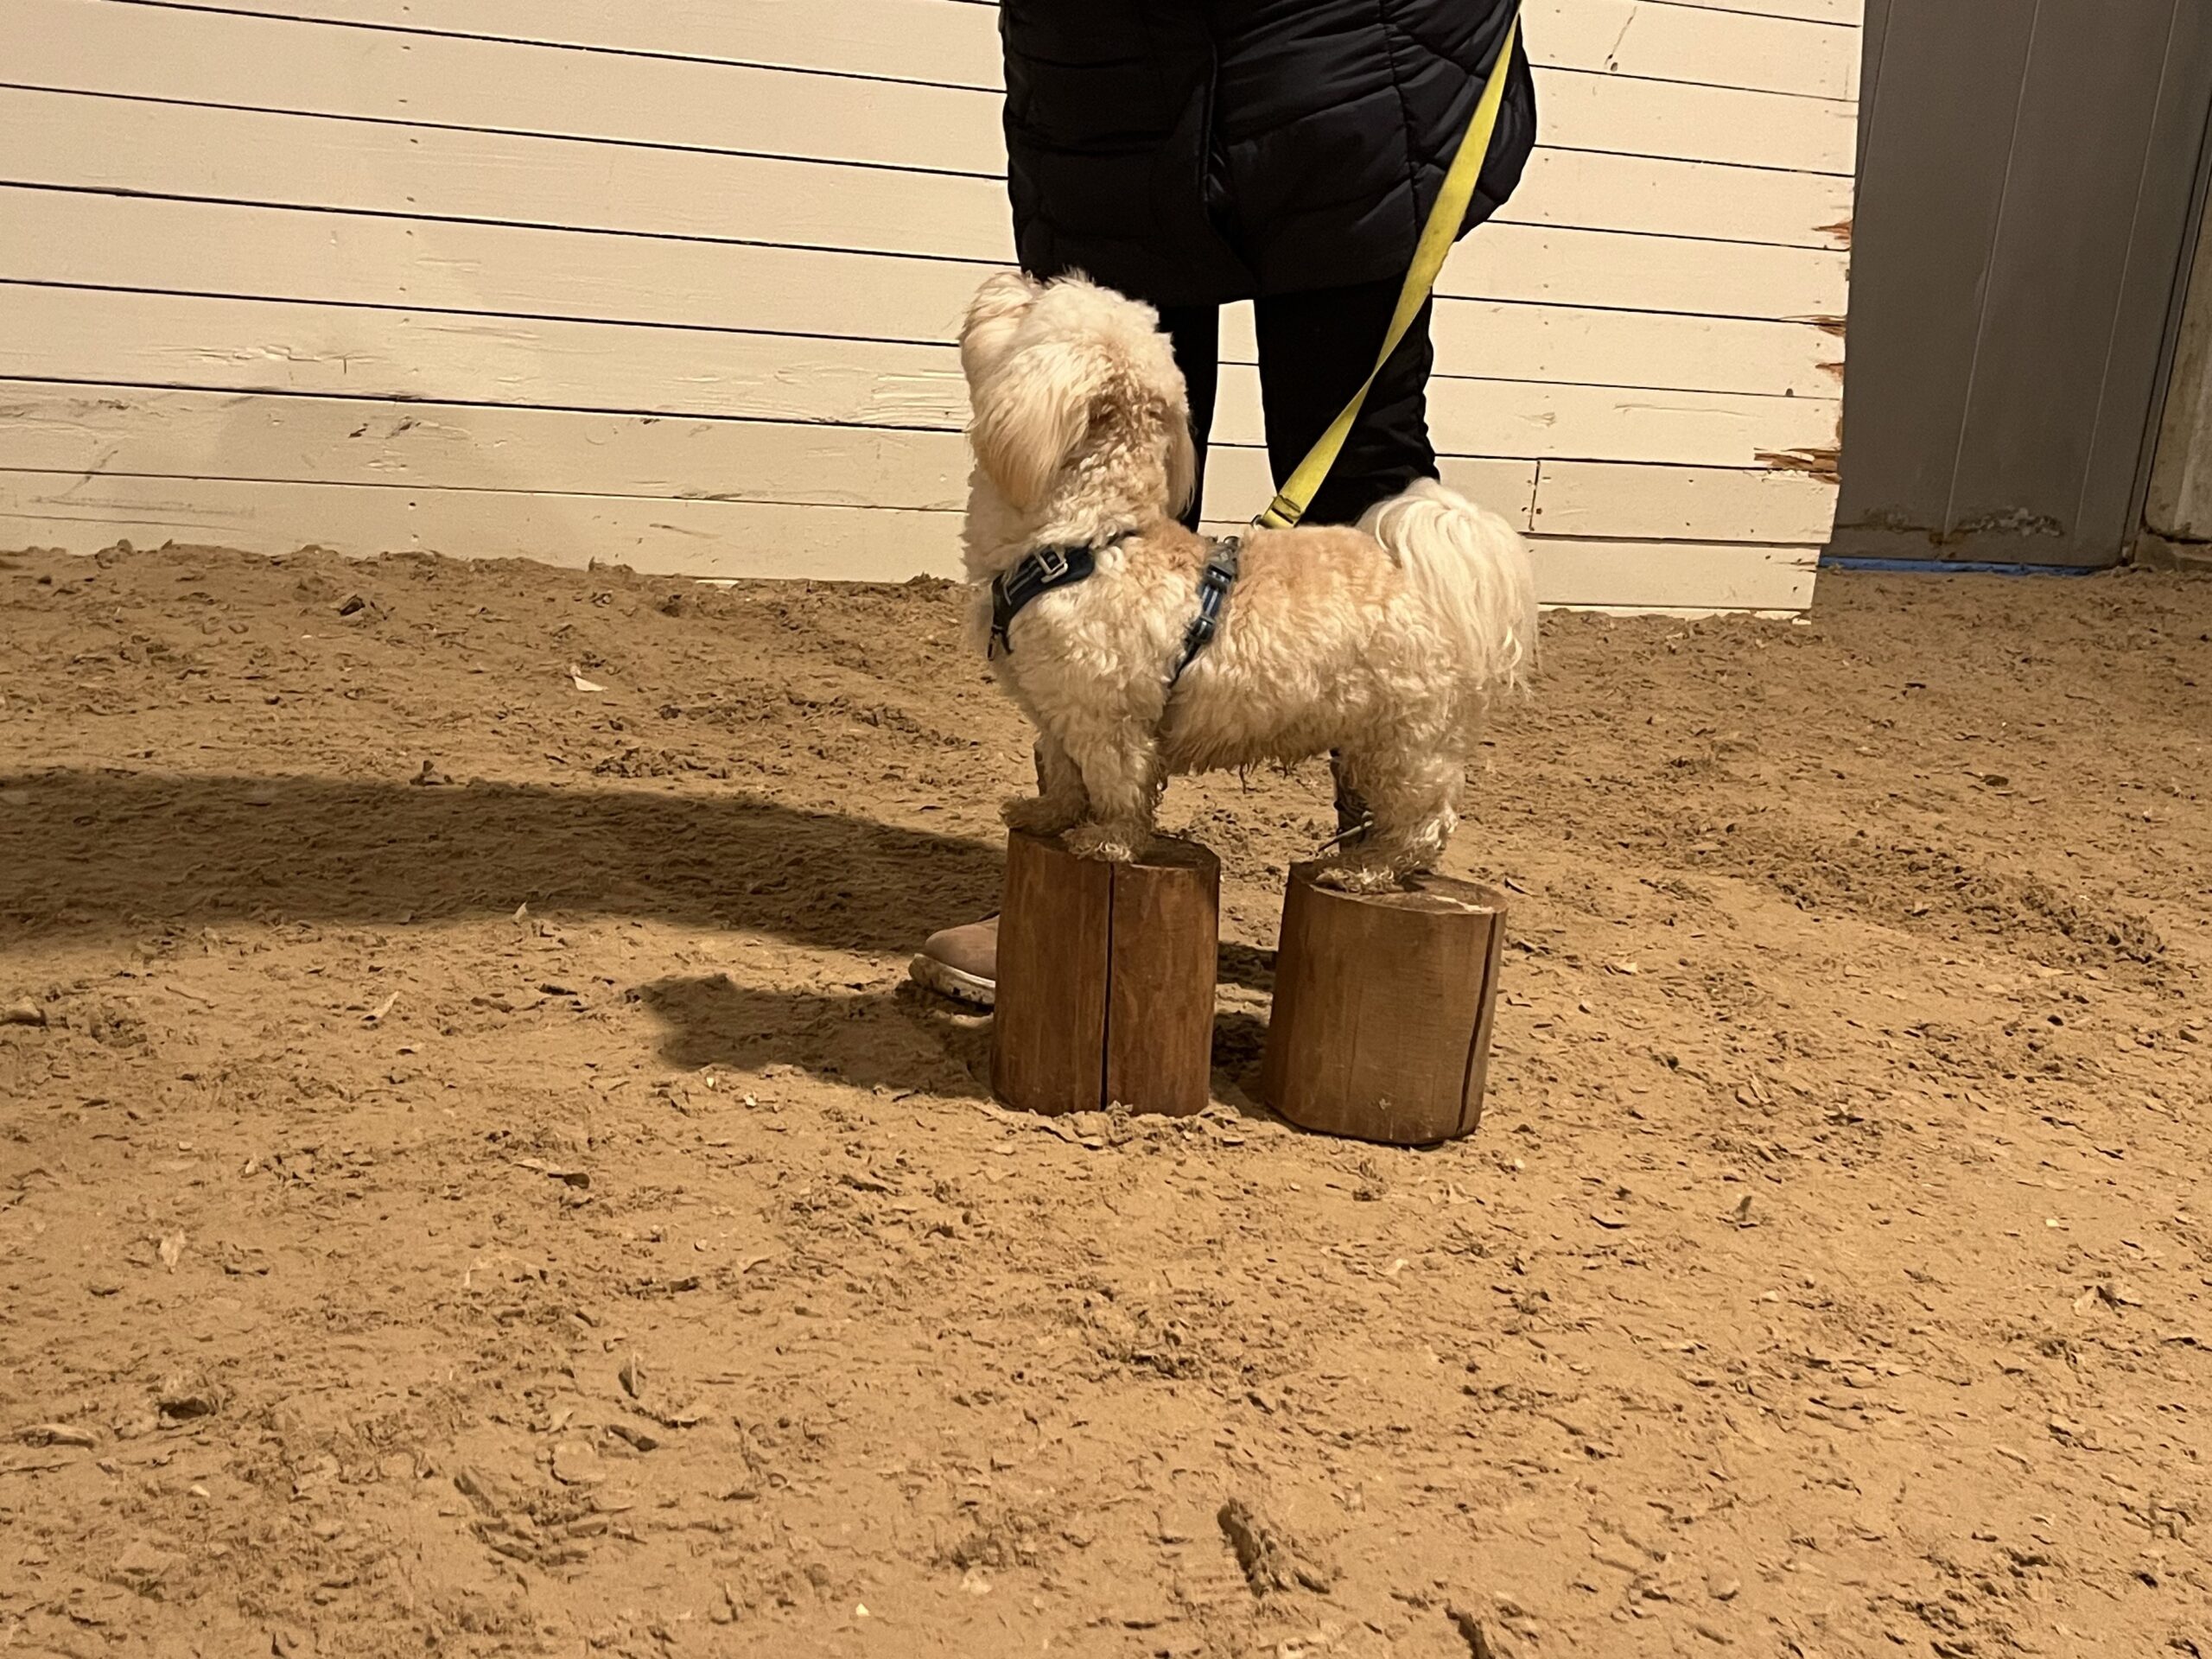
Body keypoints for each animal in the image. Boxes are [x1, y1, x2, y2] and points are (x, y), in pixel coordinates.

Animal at [960, 274, 1530, 898]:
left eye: (1033, 307)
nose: (1009, 278)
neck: (1092, 539)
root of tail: (1426, 582)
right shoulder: (1056, 709)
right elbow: (1064, 773)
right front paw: (1047, 814)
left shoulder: (1110, 719)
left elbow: (1118, 788)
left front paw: (1107, 841)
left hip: (1405, 742)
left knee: (1425, 821)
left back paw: (1365, 868)